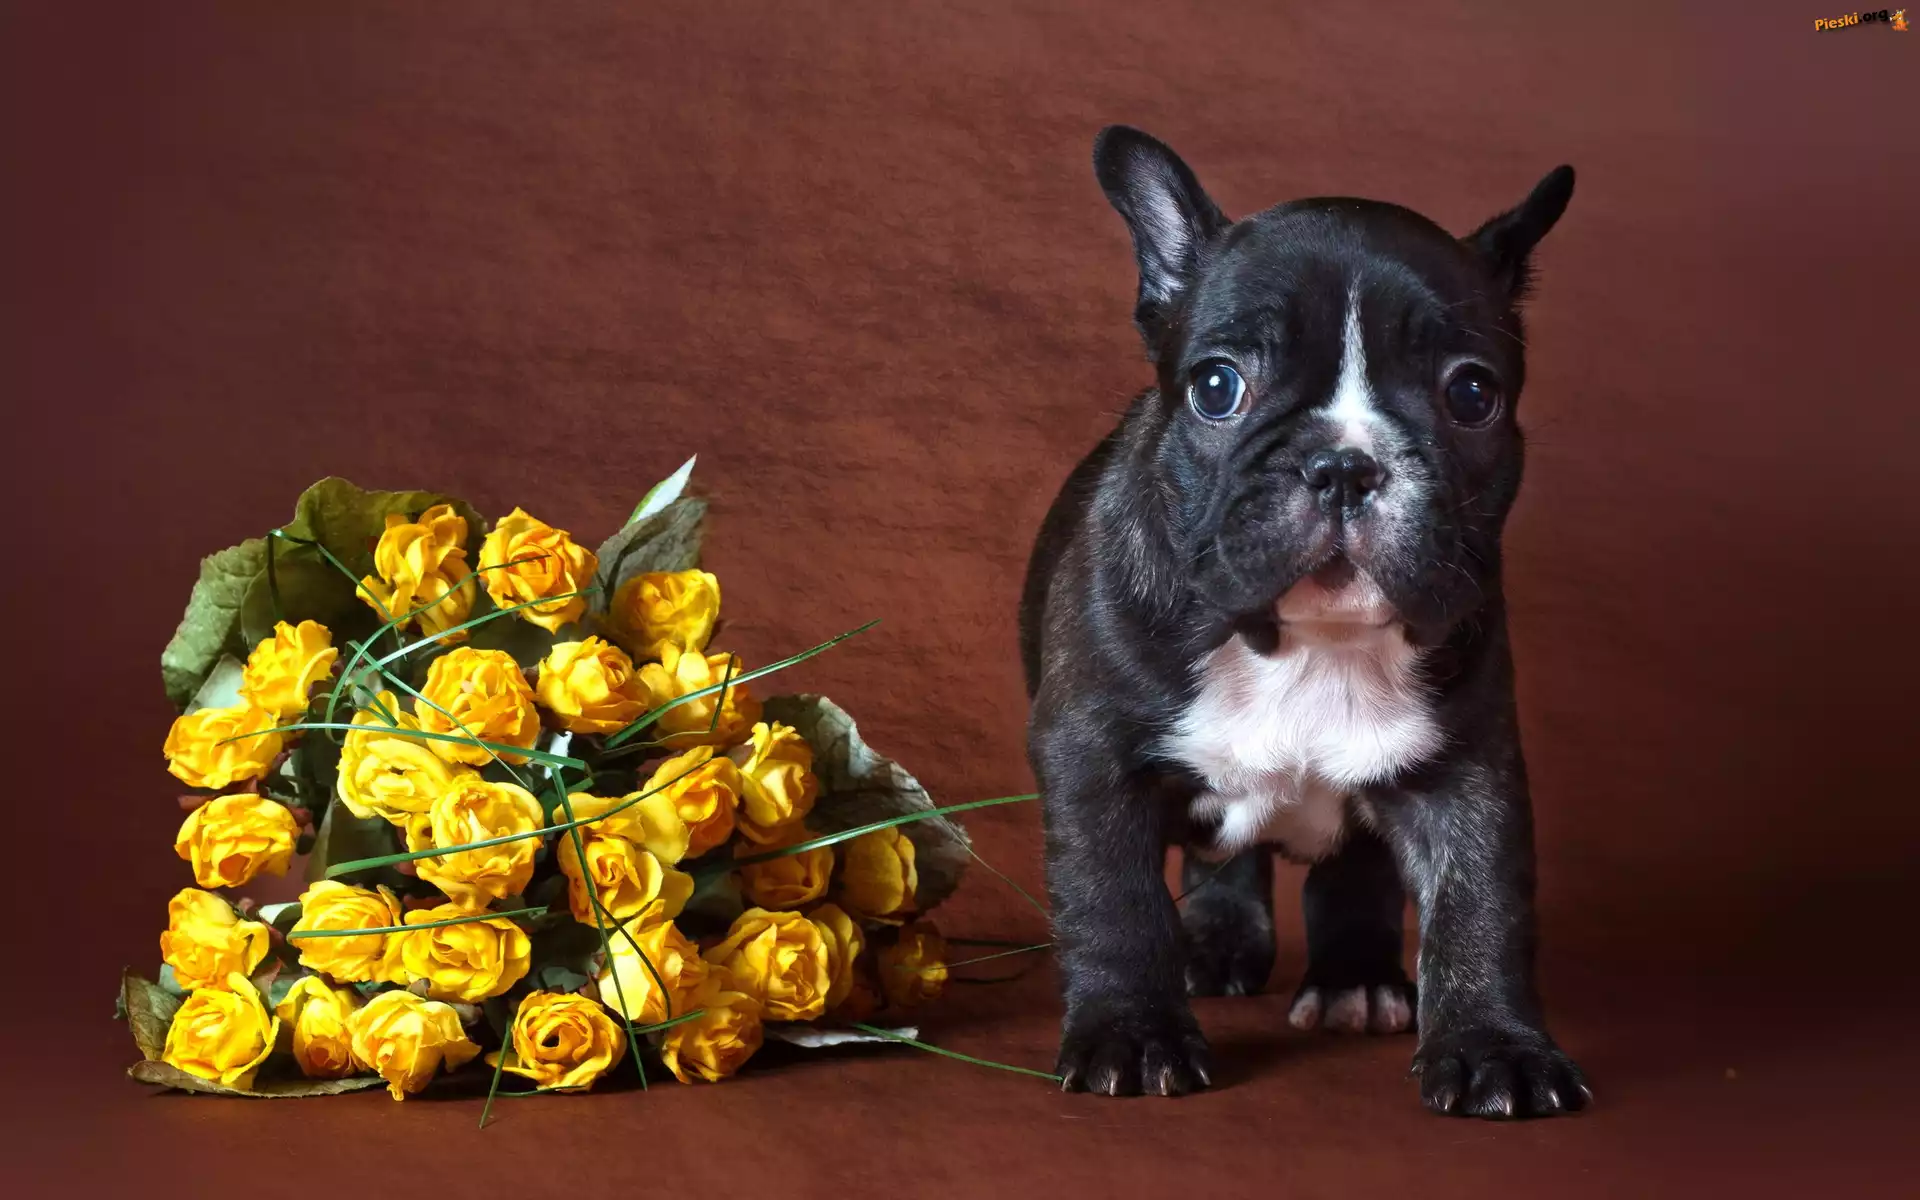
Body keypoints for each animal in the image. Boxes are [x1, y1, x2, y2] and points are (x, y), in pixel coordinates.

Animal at [1018, 126, 1587, 1118]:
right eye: (1217, 387)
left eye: (1471, 394)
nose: (1344, 465)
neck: (1304, 642)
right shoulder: (1089, 751)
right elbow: (1111, 900)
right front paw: (1132, 1033)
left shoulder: (1467, 763)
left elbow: (1481, 901)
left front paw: (1495, 1046)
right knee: (1219, 861)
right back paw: (1215, 946)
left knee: (1352, 875)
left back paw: (1356, 978)